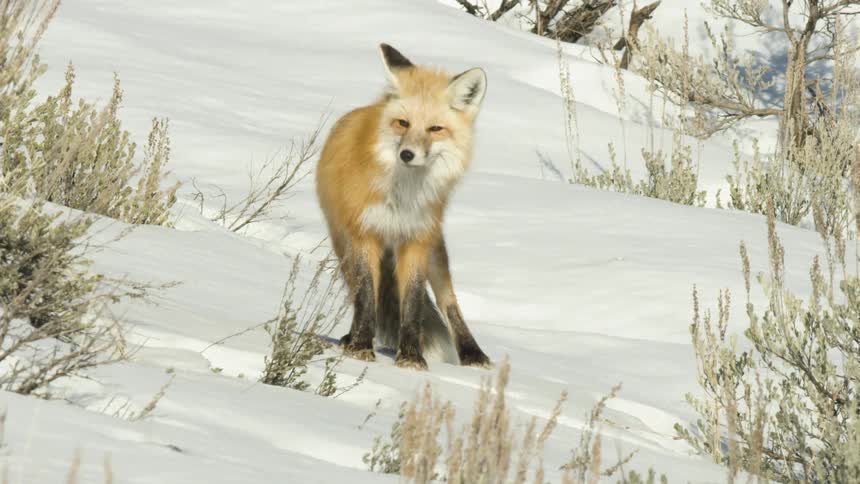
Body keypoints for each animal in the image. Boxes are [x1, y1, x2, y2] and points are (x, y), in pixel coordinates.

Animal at [315, 43, 491, 370]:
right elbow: (367, 296)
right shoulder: (364, 233)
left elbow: (412, 304)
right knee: (358, 292)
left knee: (449, 302)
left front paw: (411, 355)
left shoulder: (416, 240)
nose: (407, 154)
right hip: (342, 244)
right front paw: (361, 345)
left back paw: (473, 353)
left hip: (435, 248)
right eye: (403, 123)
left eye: (435, 129)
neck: (402, 195)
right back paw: (351, 337)